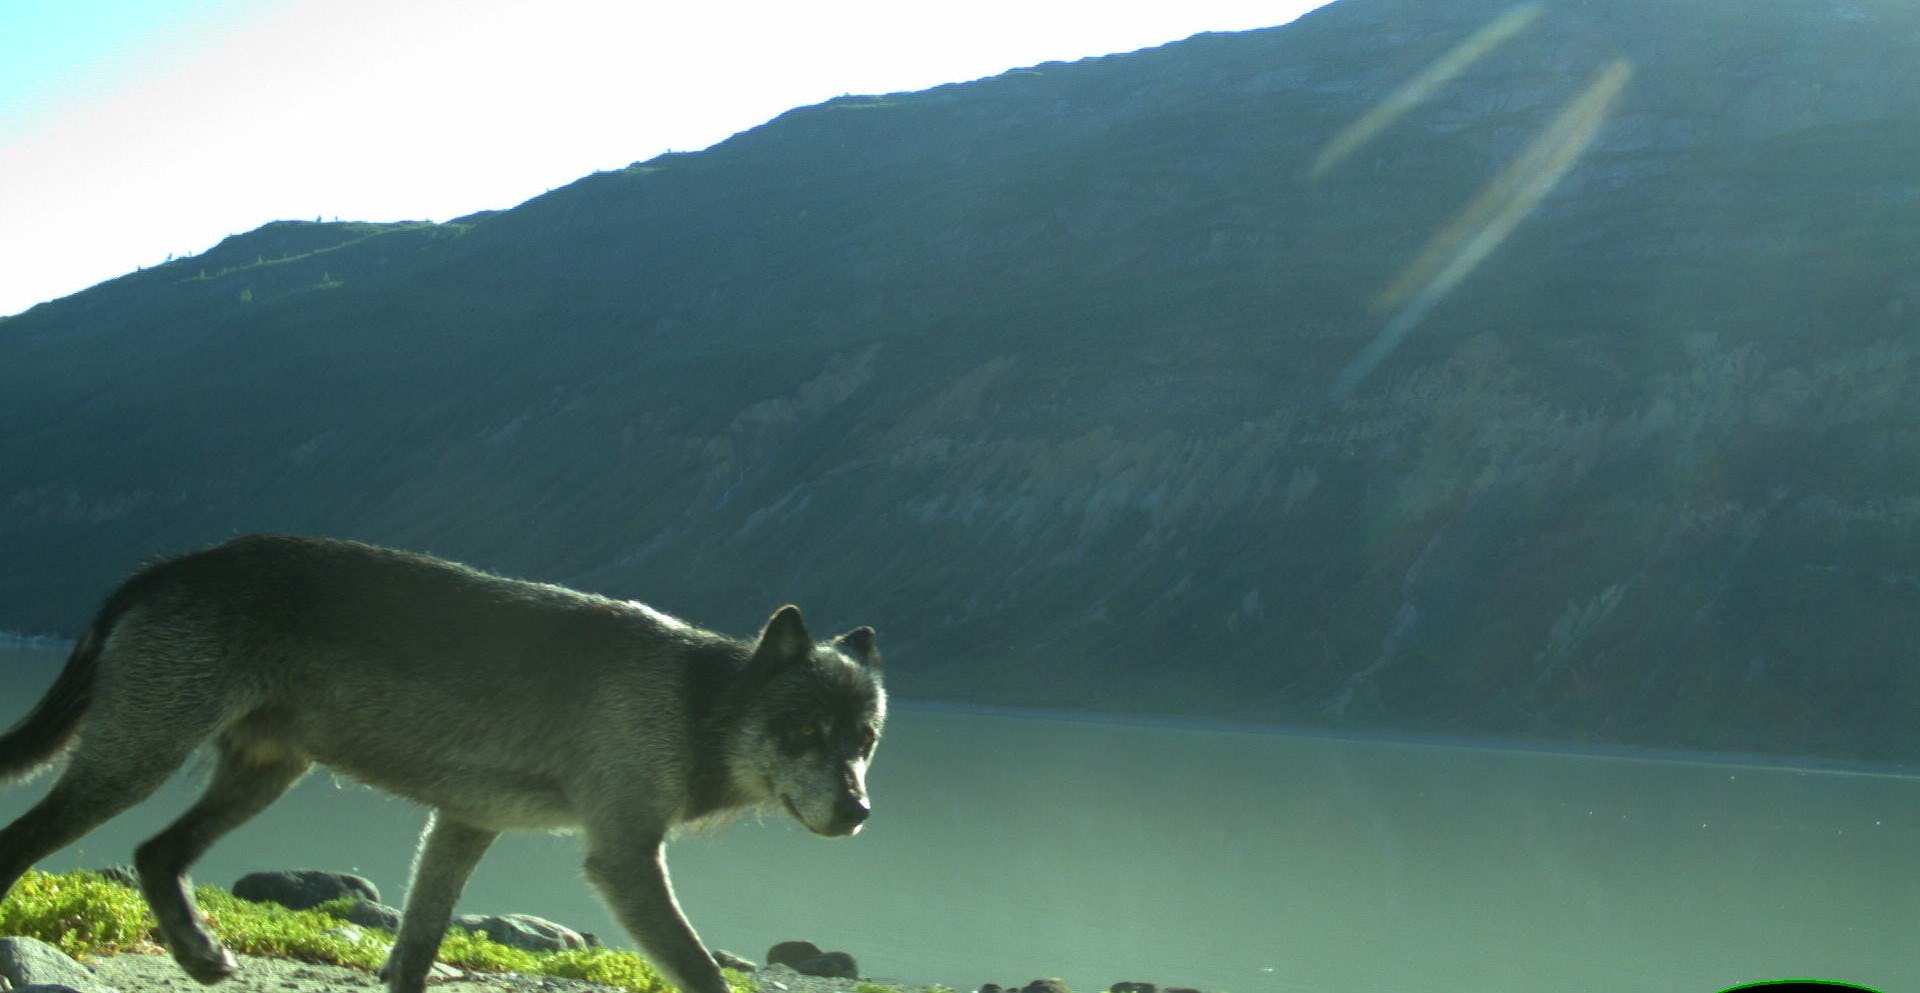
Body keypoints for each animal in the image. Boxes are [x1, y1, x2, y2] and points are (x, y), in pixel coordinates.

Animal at [0, 534, 886, 993]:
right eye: (806, 729)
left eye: (865, 740)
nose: (859, 812)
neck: (698, 701)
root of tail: (168, 564)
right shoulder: (624, 859)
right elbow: (703, 971)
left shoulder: (462, 826)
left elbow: (415, 948)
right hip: (135, 761)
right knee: (24, 843)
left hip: (258, 776)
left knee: (155, 853)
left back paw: (197, 953)